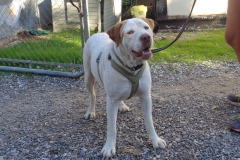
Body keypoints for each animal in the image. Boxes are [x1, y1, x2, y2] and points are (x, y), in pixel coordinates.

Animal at [83, 17, 166, 158]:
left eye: (146, 28)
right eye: (130, 32)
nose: (146, 37)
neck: (132, 66)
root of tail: (97, 33)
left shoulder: (145, 97)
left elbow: (149, 121)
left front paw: (155, 140)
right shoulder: (111, 102)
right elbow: (112, 127)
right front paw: (109, 147)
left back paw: (121, 105)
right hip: (88, 78)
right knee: (92, 95)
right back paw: (90, 111)